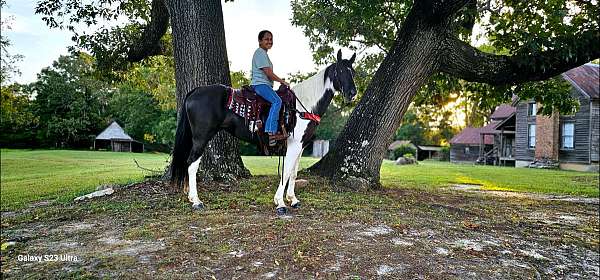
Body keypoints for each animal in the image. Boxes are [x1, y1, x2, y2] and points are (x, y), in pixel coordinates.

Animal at [169, 49, 356, 214]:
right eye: (340, 71)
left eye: (353, 72)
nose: (353, 93)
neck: (303, 106)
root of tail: (195, 91)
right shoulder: (294, 144)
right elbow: (286, 172)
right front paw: (280, 203)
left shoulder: (301, 145)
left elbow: (294, 172)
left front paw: (293, 199)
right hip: (201, 137)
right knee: (192, 164)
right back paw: (196, 201)